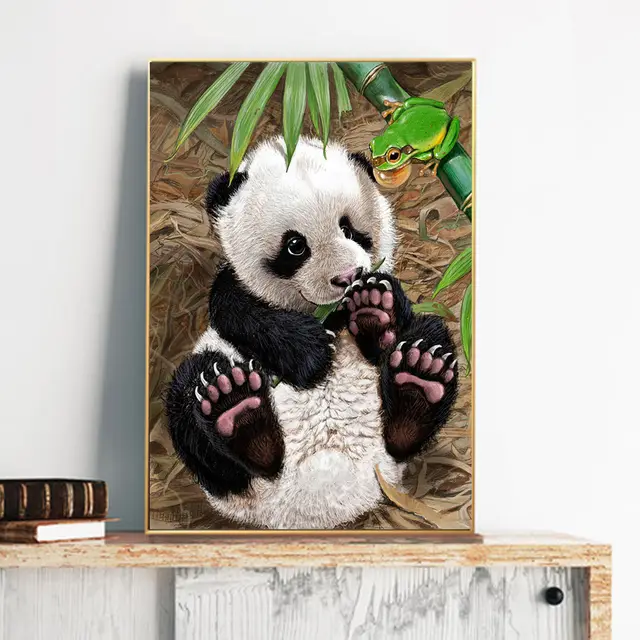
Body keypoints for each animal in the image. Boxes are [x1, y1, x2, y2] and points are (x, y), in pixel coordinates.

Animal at [165, 136, 458, 530]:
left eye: (348, 229)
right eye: (295, 246)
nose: (348, 276)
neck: (327, 315)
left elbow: (394, 306)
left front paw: (374, 307)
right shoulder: (239, 292)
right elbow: (239, 307)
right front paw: (310, 351)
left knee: (429, 337)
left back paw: (420, 378)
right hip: (229, 461)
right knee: (192, 391)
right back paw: (236, 408)